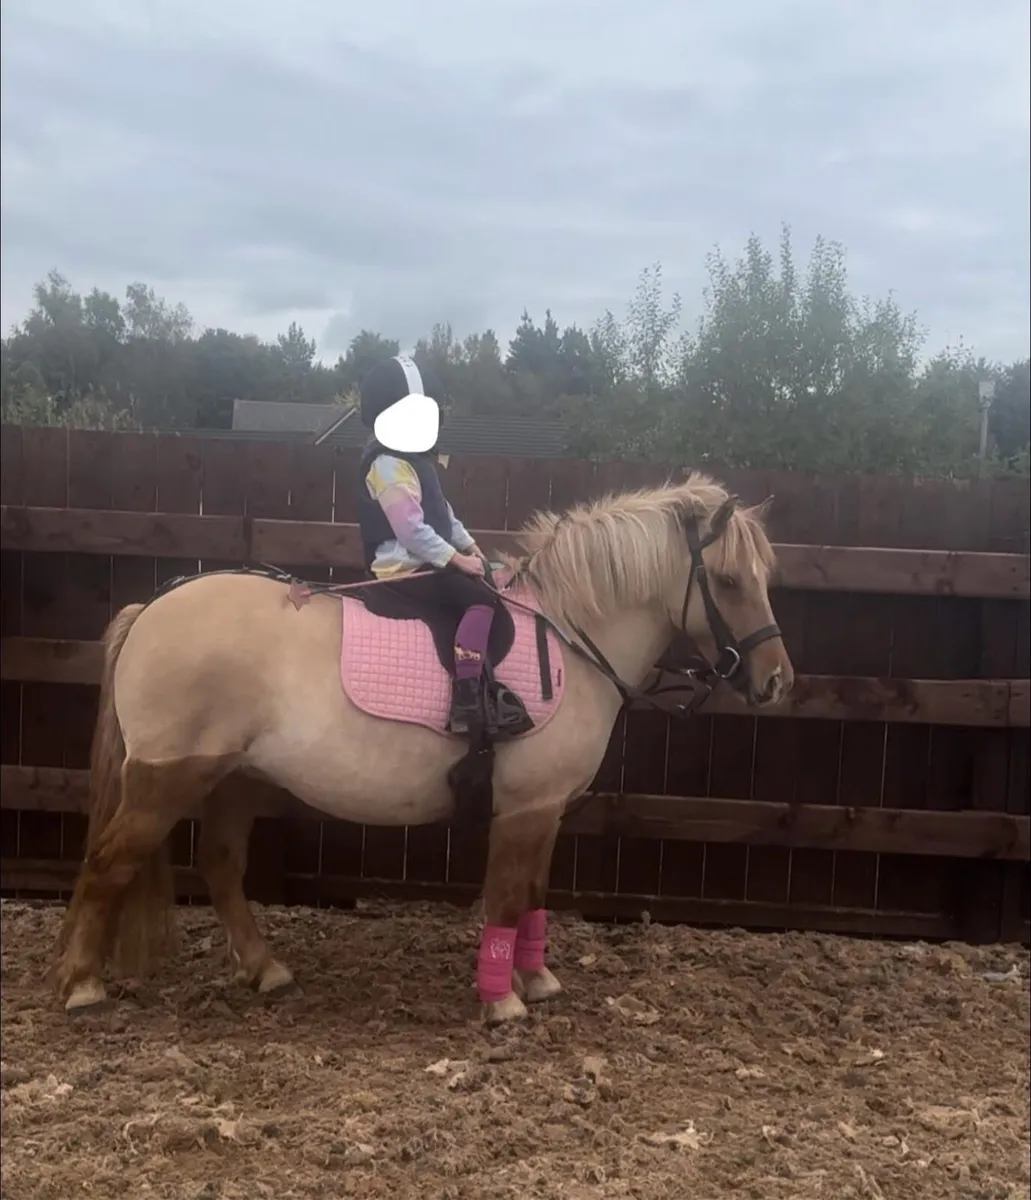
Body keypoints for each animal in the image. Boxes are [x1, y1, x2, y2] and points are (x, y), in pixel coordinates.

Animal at [52, 472, 794, 1024]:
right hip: (167, 780)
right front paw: (501, 1002)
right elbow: (505, 898)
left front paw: (536, 980)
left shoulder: (544, 809)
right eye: (728, 580)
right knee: (107, 863)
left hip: (235, 778)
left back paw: (266, 969)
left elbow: (532, 893)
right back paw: (83, 985)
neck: (569, 636)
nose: (776, 681)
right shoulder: (523, 809)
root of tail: (152, 609)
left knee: (221, 867)